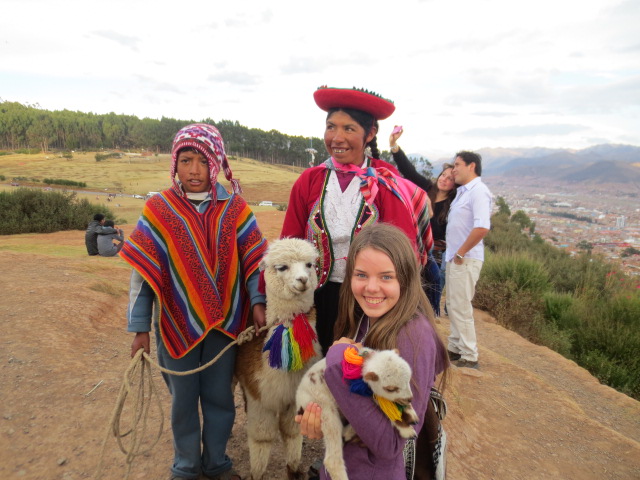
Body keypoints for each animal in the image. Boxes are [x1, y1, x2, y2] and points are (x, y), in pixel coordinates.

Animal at [296, 346, 420, 480]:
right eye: (391, 389)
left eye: (409, 380)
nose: (410, 399)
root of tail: (299, 404)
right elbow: (384, 407)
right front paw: (406, 429)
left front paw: (410, 413)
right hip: (323, 407)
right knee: (332, 457)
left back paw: (348, 433)